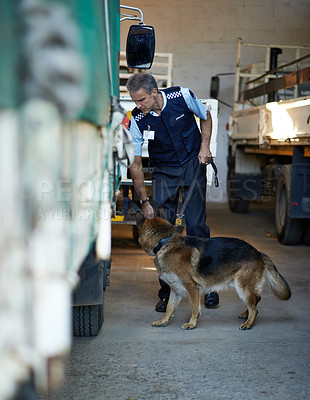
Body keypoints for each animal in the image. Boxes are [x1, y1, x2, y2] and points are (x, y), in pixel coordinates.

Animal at [138, 216, 290, 332]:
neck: (165, 243)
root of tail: (258, 252)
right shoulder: (175, 290)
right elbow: (169, 308)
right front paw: (163, 321)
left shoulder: (191, 287)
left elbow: (194, 308)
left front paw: (192, 324)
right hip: (239, 284)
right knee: (256, 300)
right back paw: (246, 315)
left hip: (242, 287)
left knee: (255, 308)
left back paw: (248, 323)